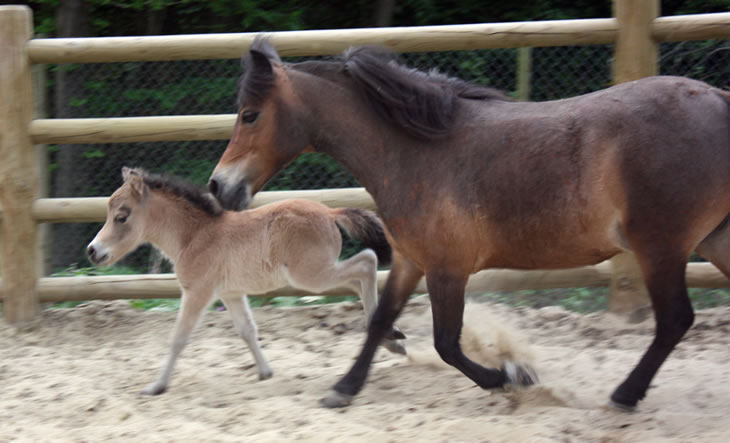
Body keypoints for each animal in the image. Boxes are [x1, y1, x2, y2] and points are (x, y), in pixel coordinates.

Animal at [206, 36, 728, 412]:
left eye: (249, 114)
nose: (218, 186)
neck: (416, 152)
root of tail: (719, 100)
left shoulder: (447, 269)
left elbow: (446, 344)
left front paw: (512, 377)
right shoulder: (411, 261)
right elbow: (380, 322)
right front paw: (344, 388)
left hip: (661, 246)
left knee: (675, 319)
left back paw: (624, 395)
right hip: (713, 240)